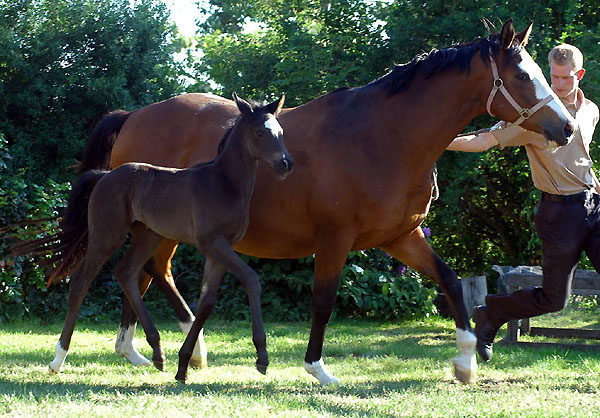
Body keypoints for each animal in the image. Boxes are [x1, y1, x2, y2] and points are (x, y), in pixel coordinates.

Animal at [47, 94, 292, 382]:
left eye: (280, 132)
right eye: (260, 132)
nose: (286, 163)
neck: (222, 183)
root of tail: (104, 175)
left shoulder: (220, 248)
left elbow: (207, 300)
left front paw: (184, 365)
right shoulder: (212, 243)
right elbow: (251, 280)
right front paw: (262, 357)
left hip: (148, 237)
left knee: (125, 272)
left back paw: (157, 351)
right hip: (107, 235)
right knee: (80, 283)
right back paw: (58, 359)